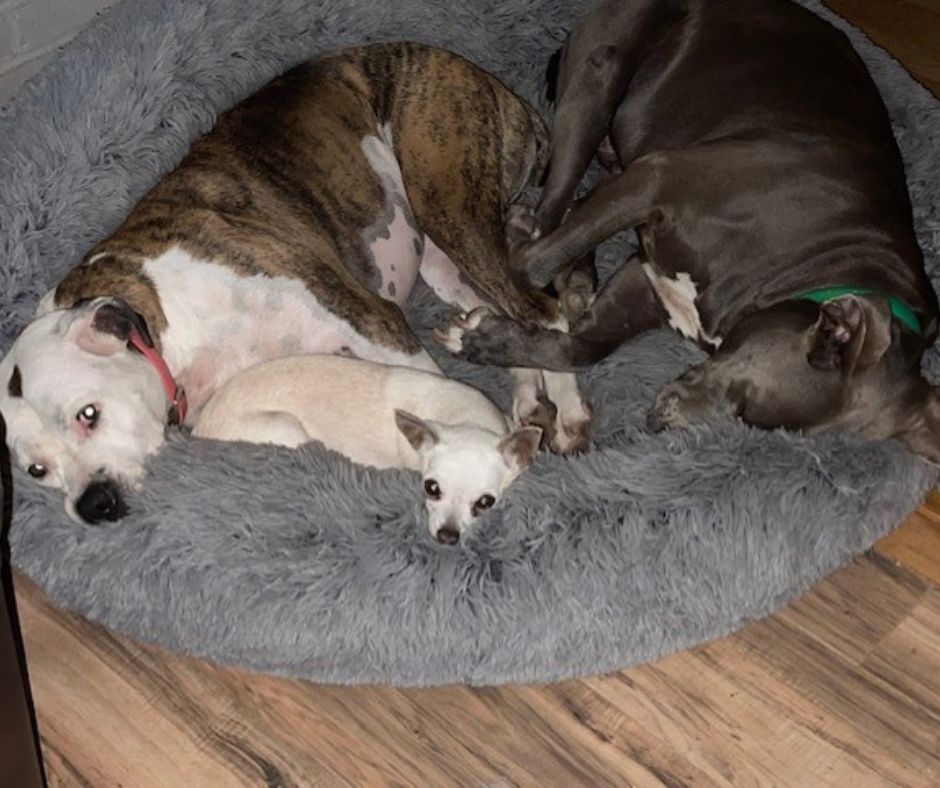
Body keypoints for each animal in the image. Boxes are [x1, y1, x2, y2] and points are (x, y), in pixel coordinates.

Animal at [0, 41, 588, 524]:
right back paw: (523, 391)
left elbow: (427, 391)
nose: (92, 504)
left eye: (88, 414)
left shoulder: (368, 317)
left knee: (543, 309)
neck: (165, 315)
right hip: (445, 259)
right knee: (503, 313)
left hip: (450, 202)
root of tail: (490, 82)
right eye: (36, 470)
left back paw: (568, 412)